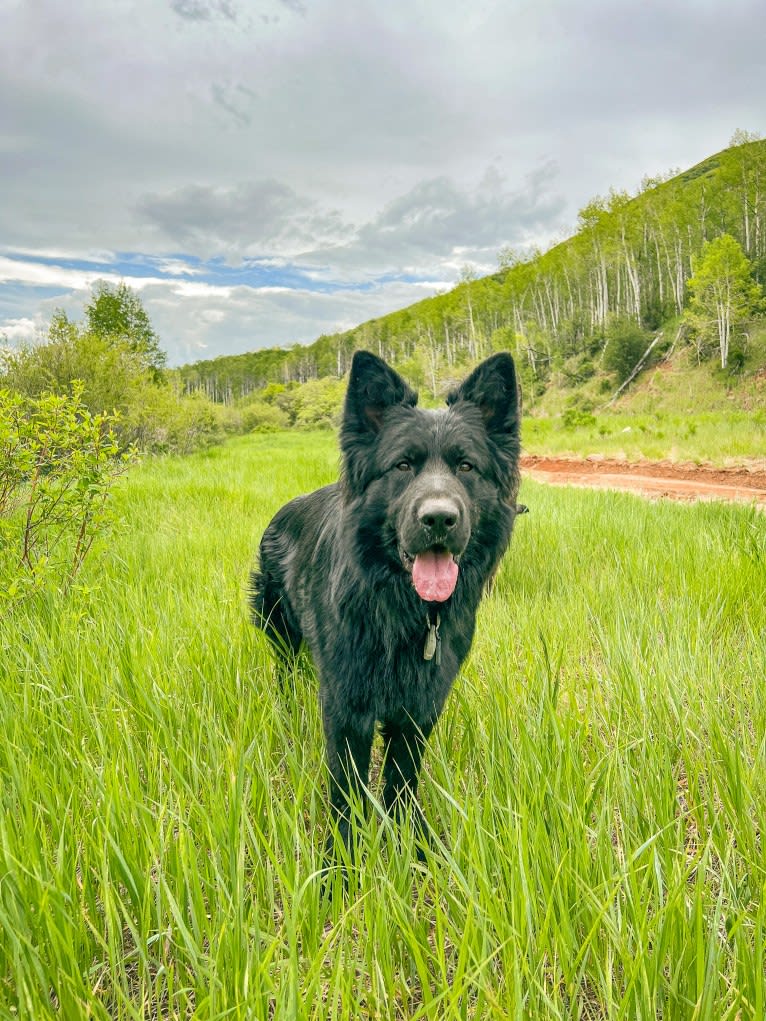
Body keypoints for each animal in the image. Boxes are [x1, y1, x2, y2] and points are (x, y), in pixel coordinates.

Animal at [252, 347, 522, 857]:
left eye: (466, 467)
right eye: (402, 466)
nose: (439, 519)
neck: (402, 611)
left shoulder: (418, 711)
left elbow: (402, 784)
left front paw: (411, 850)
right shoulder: (346, 707)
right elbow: (346, 790)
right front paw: (340, 862)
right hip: (279, 631)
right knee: (285, 674)